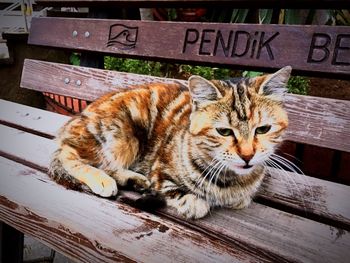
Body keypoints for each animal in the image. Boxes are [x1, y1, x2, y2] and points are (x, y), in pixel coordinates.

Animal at [48, 66, 290, 221]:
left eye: (263, 129)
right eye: (224, 131)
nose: (248, 155)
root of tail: (77, 118)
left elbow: (243, 198)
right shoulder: (160, 170)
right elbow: (182, 194)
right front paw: (194, 201)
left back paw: (135, 180)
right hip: (122, 135)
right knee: (70, 155)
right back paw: (103, 180)